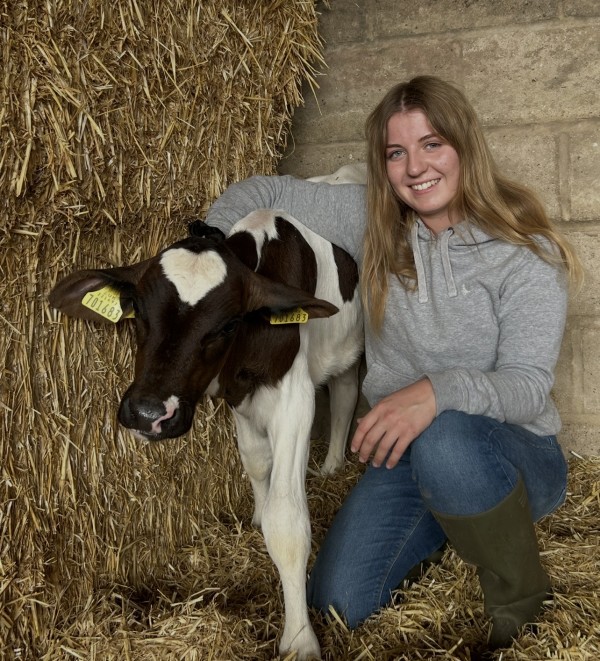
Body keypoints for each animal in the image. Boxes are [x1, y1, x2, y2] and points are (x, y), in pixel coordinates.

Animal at [49, 201, 364, 659]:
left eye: (226, 325)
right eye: (137, 309)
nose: (148, 413)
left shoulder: (294, 400)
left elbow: (287, 522)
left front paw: (299, 639)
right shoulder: (239, 399)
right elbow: (256, 463)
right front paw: (256, 516)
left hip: (348, 352)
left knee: (343, 395)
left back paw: (333, 465)